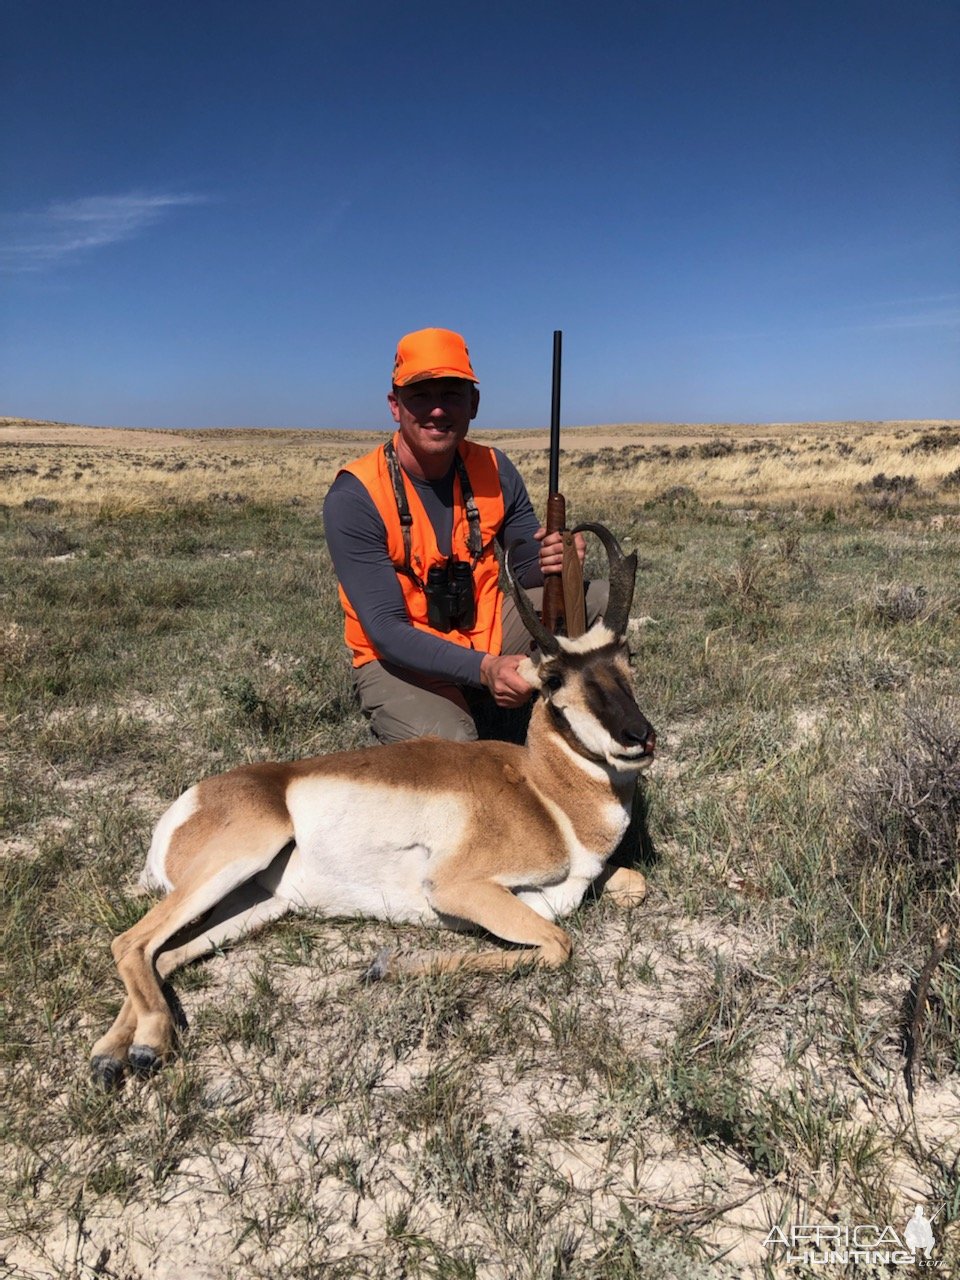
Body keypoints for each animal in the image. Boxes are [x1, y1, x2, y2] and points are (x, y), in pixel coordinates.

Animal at [90, 524, 660, 1085]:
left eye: (628, 658)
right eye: (553, 678)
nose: (640, 737)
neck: (544, 793)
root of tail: (196, 799)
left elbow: (634, 885)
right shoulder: (458, 888)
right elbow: (558, 944)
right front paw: (384, 966)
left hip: (257, 903)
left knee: (161, 955)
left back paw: (112, 1055)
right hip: (236, 861)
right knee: (130, 942)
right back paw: (146, 1045)